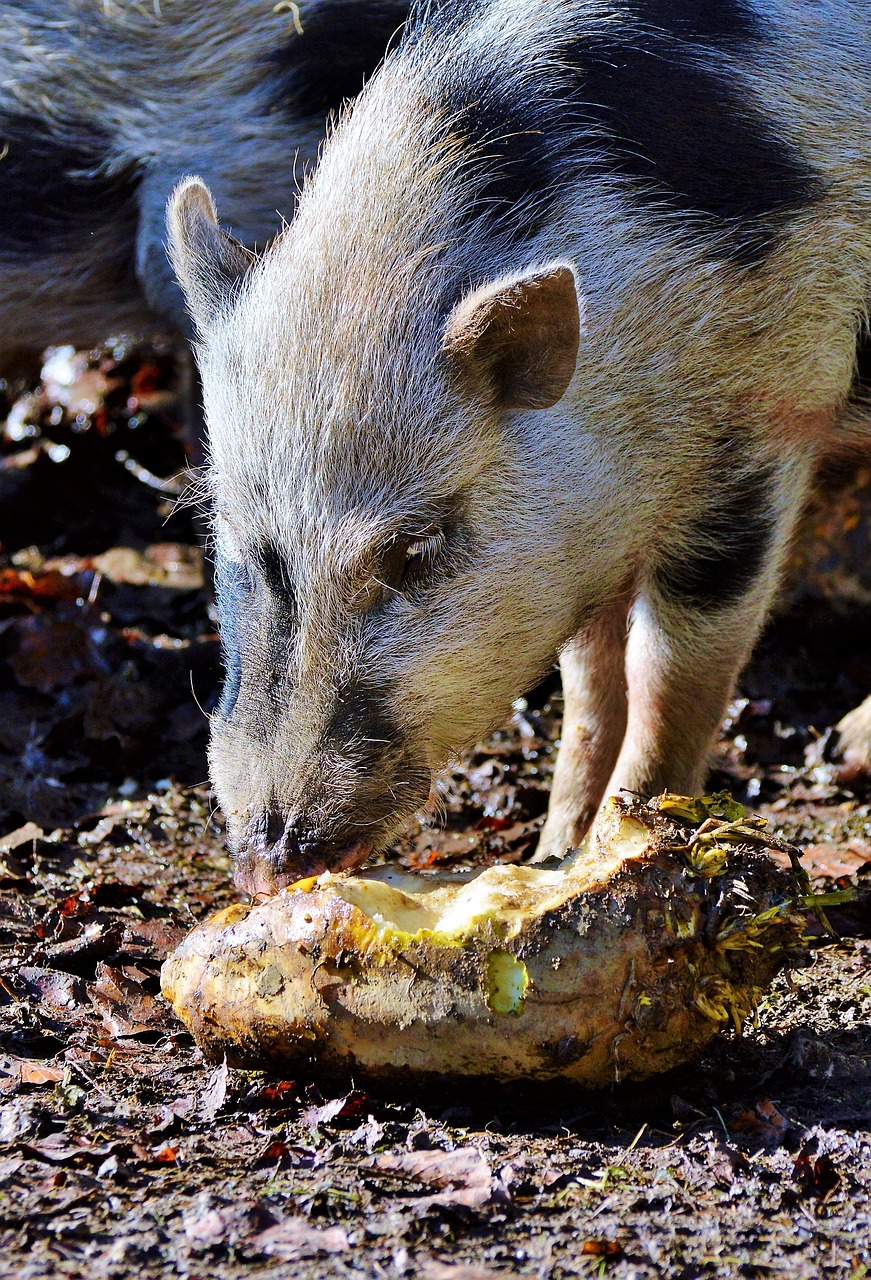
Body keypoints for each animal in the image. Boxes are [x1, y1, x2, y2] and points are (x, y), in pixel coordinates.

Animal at [167, 0, 871, 901]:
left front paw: (629, 832)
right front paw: (552, 852)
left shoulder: (762, 414)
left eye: (414, 548)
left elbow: (667, 675)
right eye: (230, 534)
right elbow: (590, 683)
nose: (263, 868)